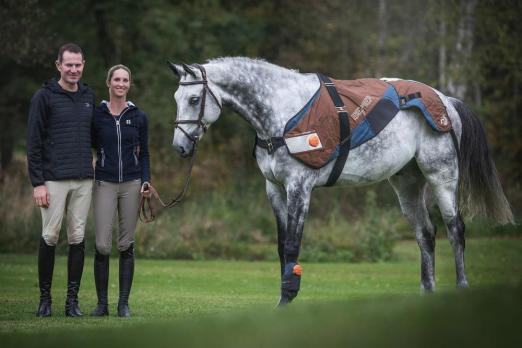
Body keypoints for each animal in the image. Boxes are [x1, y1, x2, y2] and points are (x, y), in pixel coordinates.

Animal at [168, 56, 512, 304]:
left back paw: (462, 288)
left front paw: (287, 298)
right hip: (407, 183)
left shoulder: (299, 187)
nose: (180, 147)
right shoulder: (274, 190)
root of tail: (447, 101)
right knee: (426, 234)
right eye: (177, 97)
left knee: (456, 230)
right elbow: (281, 246)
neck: (282, 112)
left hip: (442, 176)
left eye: (195, 99)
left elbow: (292, 245)